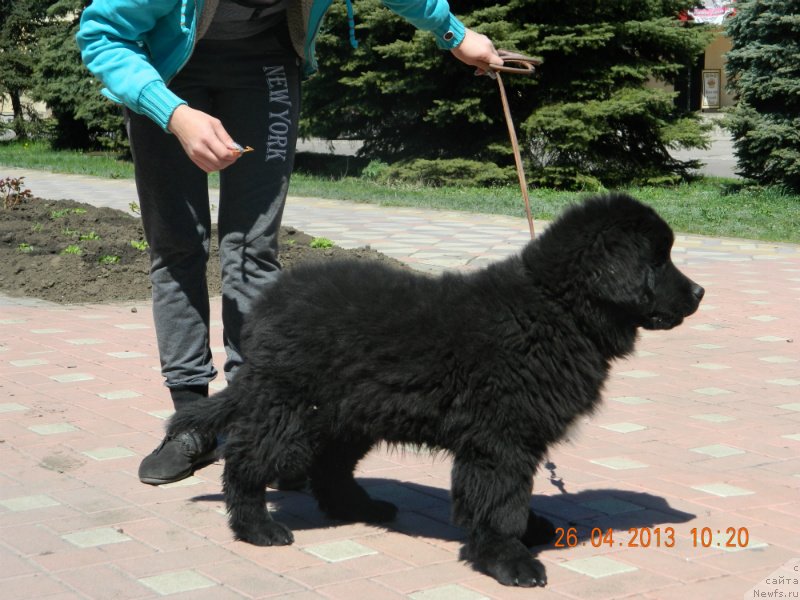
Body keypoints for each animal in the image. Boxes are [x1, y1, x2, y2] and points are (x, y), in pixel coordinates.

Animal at [170, 192, 708, 584]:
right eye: (658, 261)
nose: (700, 292)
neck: (557, 309)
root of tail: (269, 302)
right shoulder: (500, 441)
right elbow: (502, 502)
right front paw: (510, 560)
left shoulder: (516, 439)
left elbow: (512, 498)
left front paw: (529, 531)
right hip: (294, 410)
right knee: (246, 461)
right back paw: (257, 527)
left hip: (347, 414)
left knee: (329, 469)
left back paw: (360, 507)